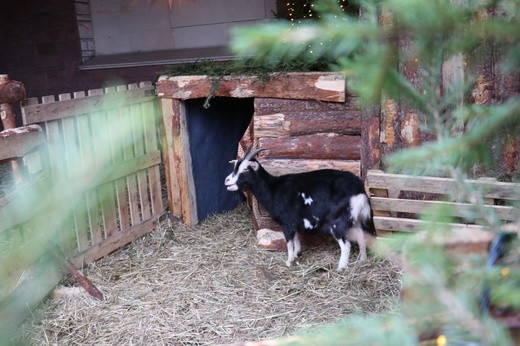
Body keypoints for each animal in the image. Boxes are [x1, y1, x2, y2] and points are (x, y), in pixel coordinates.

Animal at [225, 146, 376, 270]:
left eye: (246, 169)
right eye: (235, 167)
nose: (227, 180)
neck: (273, 188)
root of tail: (359, 190)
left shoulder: (286, 222)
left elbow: (289, 241)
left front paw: (289, 261)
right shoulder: (295, 222)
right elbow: (297, 238)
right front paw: (297, 254)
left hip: (338, 220)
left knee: (346, 245)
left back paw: (340, 268)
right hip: (354, 219)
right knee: (361, 237)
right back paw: (362, 260)